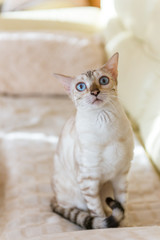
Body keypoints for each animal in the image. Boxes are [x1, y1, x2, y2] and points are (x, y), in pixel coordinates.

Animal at [51, 53, 134, 230]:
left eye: (103, 80)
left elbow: (123, 205)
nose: (95, 92)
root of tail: (54, 196)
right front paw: (107, 226)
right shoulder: (89, 179)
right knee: (83, 211)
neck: (105, 124)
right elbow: (98, 212)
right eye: (81, 86)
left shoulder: (121, 175)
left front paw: (123, 226)